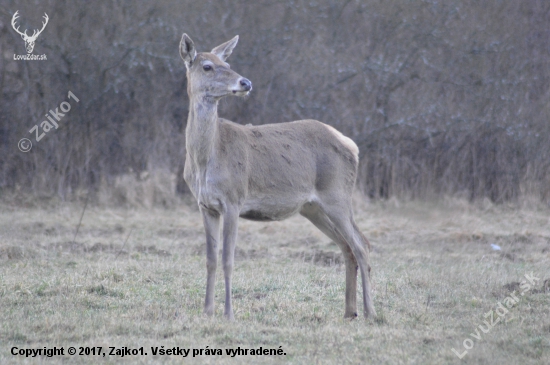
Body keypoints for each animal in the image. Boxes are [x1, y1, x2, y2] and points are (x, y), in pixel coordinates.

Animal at [181, 33, 380, 318]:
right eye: (207, 66)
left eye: (227, 62)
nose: (245, 82)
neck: (206, 160)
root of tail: (352, 146)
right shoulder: (205, 205)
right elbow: (210, 259)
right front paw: (207, 311)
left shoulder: (233, 199)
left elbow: (228, 259)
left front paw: (228, 313)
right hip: (313, 207)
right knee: (346, 247)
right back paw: (349, 311)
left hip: (338, 194)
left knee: (362, 244)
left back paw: (370, 312)